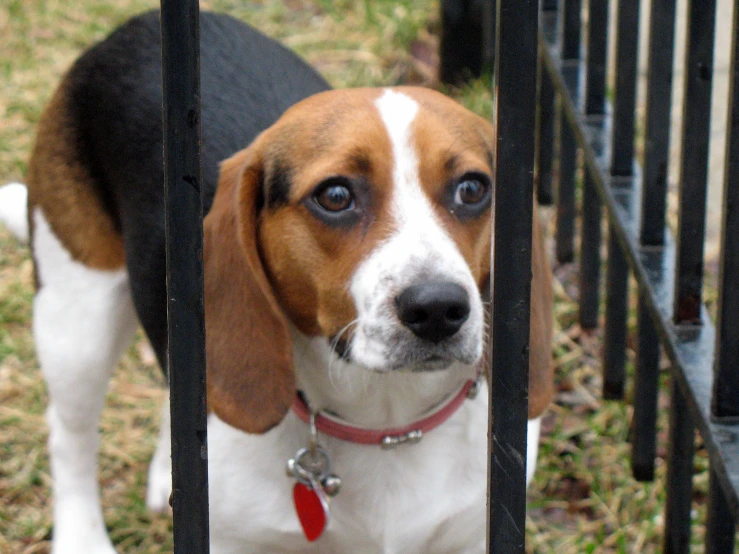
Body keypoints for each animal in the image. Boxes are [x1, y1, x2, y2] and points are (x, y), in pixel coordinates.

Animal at [1, 8, 556, 552]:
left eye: (472, 189)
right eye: (335, 196)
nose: (438, 308)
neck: (385, 424)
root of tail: (133, 26)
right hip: (76, 319)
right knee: (69, 435)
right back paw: (82, 537)